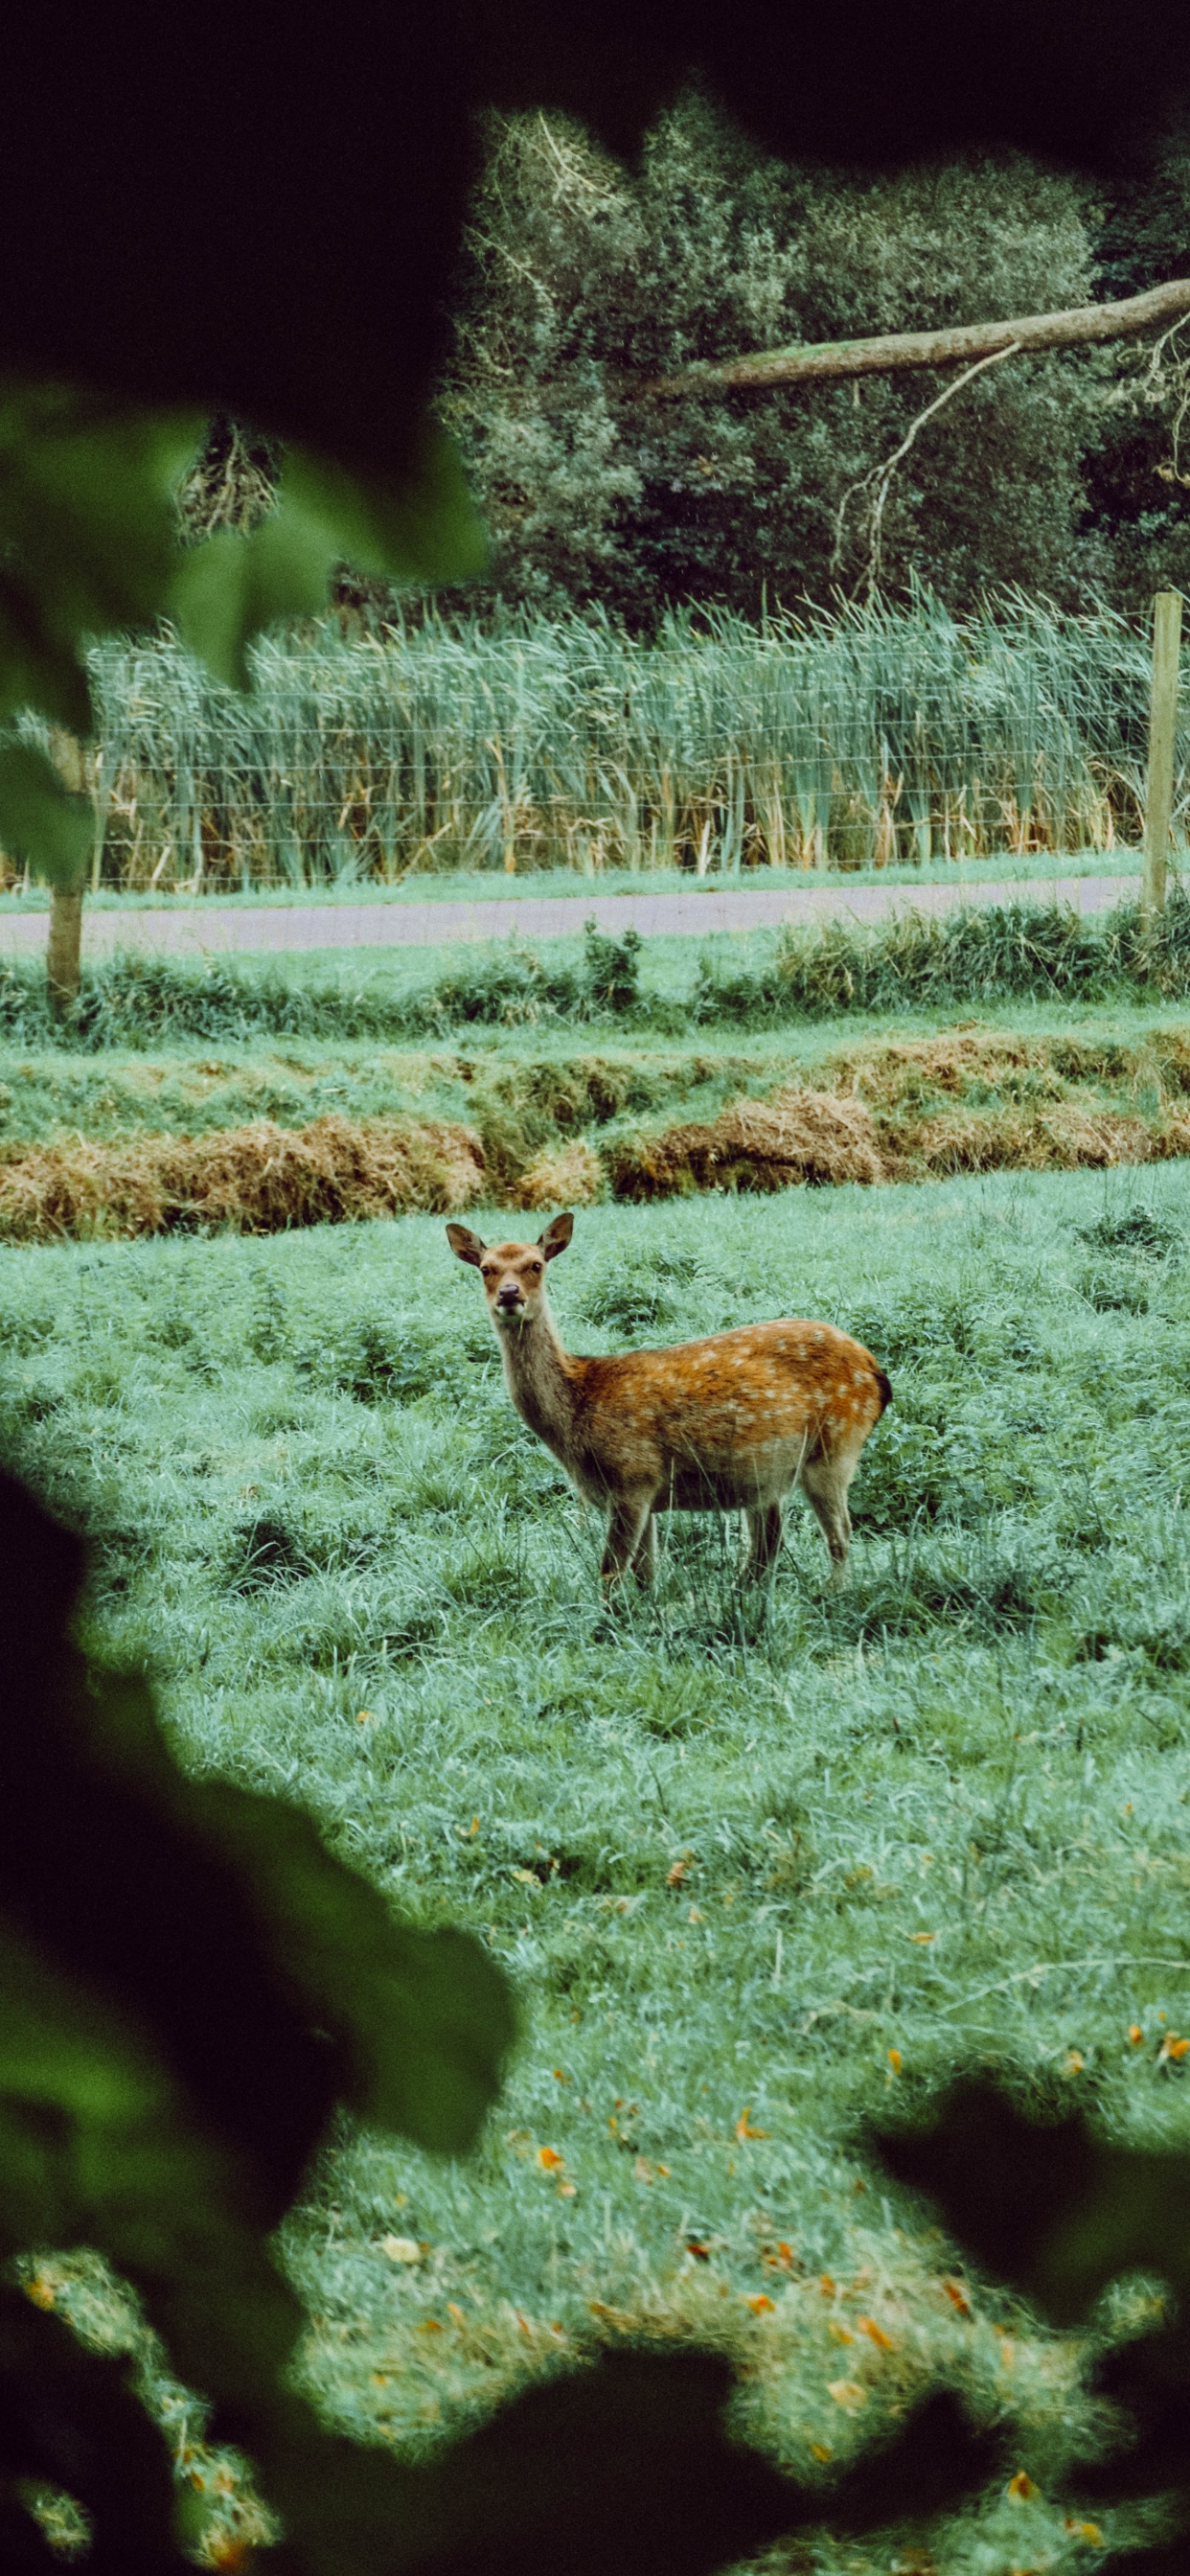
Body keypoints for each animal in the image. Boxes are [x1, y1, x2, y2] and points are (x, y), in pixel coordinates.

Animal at [446, 1210, 891, 1591]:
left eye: (536, 1264)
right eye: (486, 1268)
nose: (509, 1294)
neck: (578, 1412)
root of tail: (877, 1373)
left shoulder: (634, 1476)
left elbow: (610, 1572)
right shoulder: (644, 1495)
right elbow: (645, 1574)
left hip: (834, 1448)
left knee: (840, 1535)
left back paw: (831, 1594)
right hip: (769, 1474)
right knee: (768, 1545)